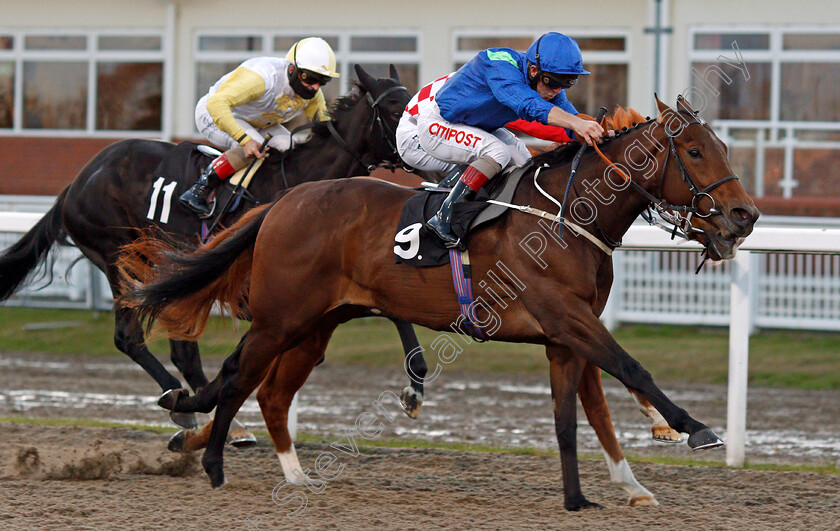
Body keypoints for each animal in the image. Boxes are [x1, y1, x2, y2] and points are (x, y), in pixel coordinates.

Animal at [0, 63, 426, 436]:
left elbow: (393, 312)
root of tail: (78, 181)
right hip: (119, 258)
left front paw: (415, 386)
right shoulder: (256, 294)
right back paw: (183, 403)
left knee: (181, 349)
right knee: (129, 338)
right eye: (395, 109)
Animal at [120, 96, 760, 512]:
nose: (744, 214)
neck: (565, 215)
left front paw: (604, 493)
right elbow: (632, 368)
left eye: (724, 147)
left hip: (315, 325)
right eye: (695, 152)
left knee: (270, 391)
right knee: (236, 378)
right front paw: (696, 429)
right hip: (281, 319)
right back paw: (213, 462)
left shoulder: (566, 336)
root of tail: (283, 202)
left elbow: (580, 416)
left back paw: (289, 474)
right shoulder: (568, 319)